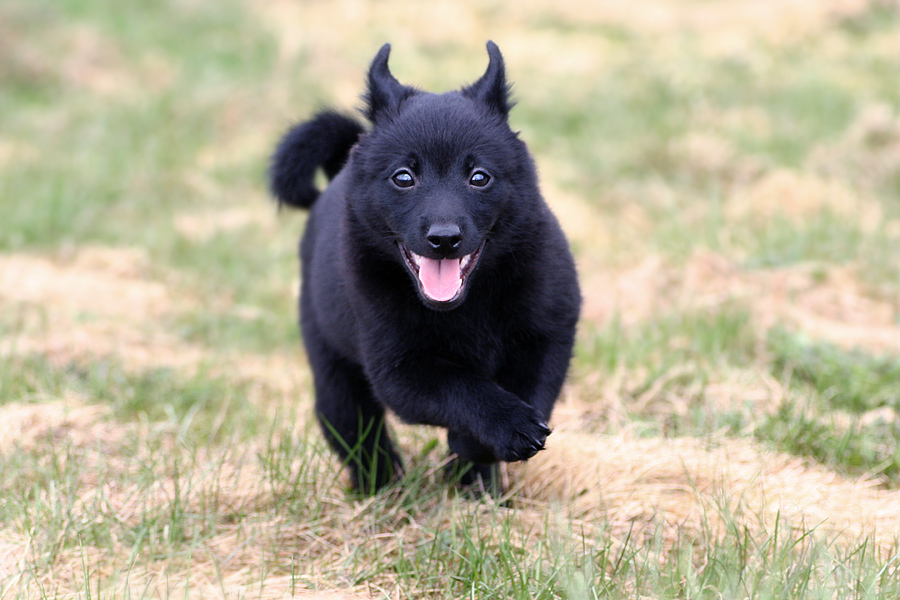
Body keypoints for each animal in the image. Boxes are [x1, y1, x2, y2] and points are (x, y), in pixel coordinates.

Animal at [268, 42, 580, 496]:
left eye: (479, 177)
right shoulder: (399, 369)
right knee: (356, 432)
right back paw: (380, 491)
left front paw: (478, 449)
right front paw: (501, 429)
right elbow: (461, 386)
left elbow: (533, 388)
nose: (444, 238)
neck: (469, 303)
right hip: (333, 366)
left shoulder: (548, 334)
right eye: (403, 177)